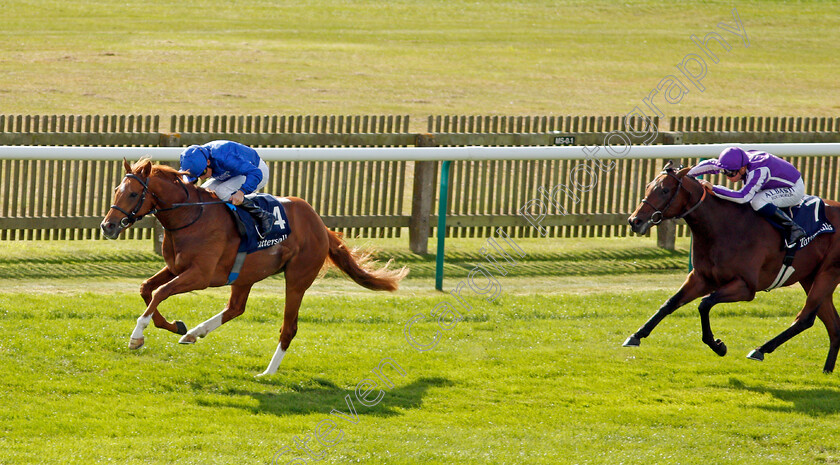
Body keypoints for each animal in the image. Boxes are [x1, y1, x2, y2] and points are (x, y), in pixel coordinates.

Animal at [98, 158, 406, 376]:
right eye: (116, 190)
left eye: (133, 194)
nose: (107, 226)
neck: (190, 216)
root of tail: (320, 224)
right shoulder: (176, 267)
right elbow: (146, 289)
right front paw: (174, 325)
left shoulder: (200, 275)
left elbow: (160, 292)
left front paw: (137, 336)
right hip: (245, 274)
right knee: (236, 307)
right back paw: (193, 333)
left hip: (297, 278)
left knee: (288, 327)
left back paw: (267, 372)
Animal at [624, 161, 840, 372]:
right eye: (648, 186)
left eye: (665, 190)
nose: (635, 221)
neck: (723, 227)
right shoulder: (701, 278)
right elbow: (670, 303)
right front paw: (636, 336)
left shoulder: (746, 287)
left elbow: (705, 303)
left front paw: (717, 345)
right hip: (809, 277)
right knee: (832, 325)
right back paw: (827, 370)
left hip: (828, 273)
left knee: (806, 318)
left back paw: (760, 349)